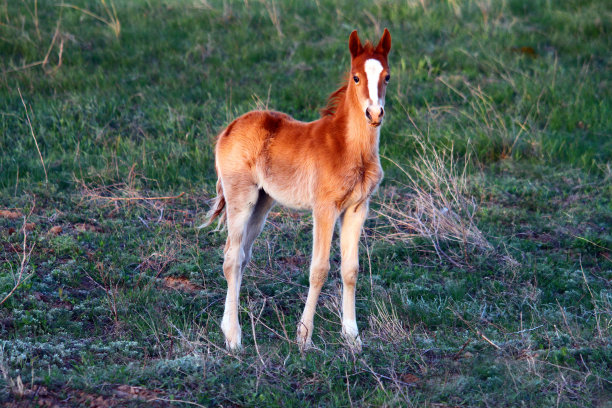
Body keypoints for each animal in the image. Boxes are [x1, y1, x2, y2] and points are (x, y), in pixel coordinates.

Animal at [203, 28, 390, 350]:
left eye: (387, 77)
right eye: (356, 77)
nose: (374, 113)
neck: (349, 147)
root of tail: (230, 127)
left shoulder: (357, 208)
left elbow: (350, 270)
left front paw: (352, 337)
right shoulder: (324, 208)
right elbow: (319, 269)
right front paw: (303, 336)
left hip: (262, 202)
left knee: (241, 256)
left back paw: (229, 329)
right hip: (241, 197)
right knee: (231, 258)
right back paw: (234, 338)